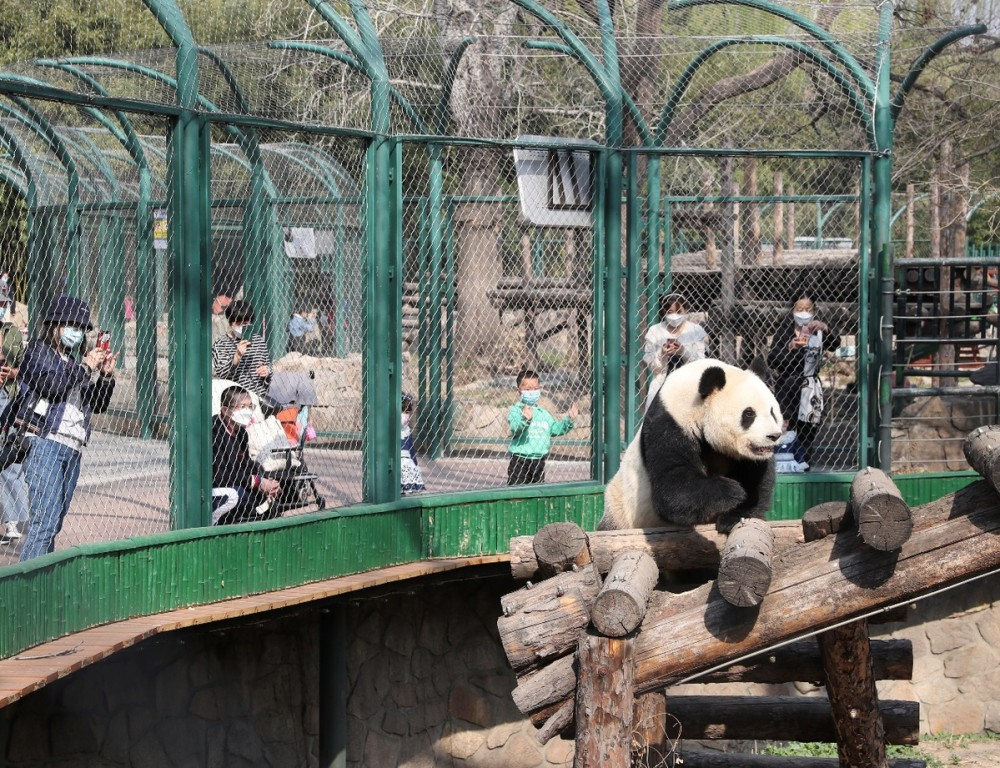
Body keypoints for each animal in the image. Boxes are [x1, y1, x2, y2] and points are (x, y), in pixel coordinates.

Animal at [596, 358, 784, 536]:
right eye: (749, 414)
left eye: (773, 412)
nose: (773, 436)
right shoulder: (669, 423)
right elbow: (672, 486)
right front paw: (732, 490)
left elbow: (756, 478)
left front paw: (734, 516)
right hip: (620, 509)